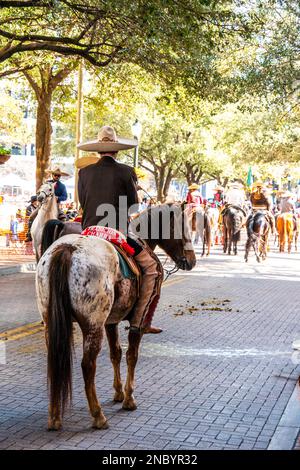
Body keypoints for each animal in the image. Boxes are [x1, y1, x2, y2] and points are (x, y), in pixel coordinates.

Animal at [36, 204, 196, 432]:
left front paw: (119, 392)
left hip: (53, 323)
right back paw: (98, 416)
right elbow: (131, 355)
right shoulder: (137, 319)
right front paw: (129, 398)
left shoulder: (110, 321)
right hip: (93, 325)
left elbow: (116, 354)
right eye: (184, 227)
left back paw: (55, 416)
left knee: (55, 360)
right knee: (88, 365)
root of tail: (69, 248)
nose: (192, 261)